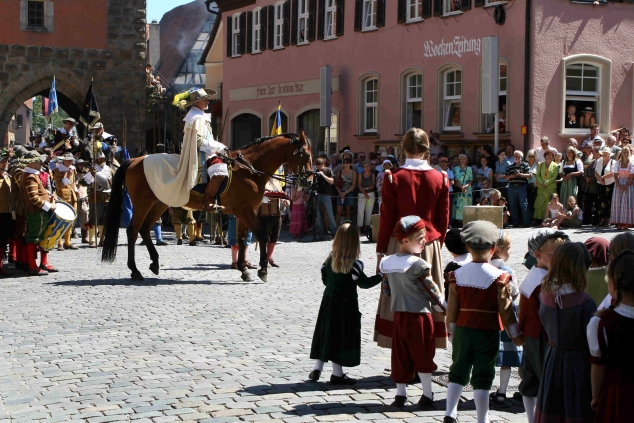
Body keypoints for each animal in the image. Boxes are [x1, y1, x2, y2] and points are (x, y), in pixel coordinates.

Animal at [99, 132, 314, 282]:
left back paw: (155, 263)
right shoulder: (246, 211)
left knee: (144, 229)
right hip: (143, 203)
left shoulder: (244, 213)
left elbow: (242, 240)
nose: (310, 181)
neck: (250, 169)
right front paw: (262, 270)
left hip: (159, 202)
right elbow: (261, 235)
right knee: (133, 231)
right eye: (305, 153)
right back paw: (135, 271)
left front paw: (244, 269)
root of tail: (136, 160)